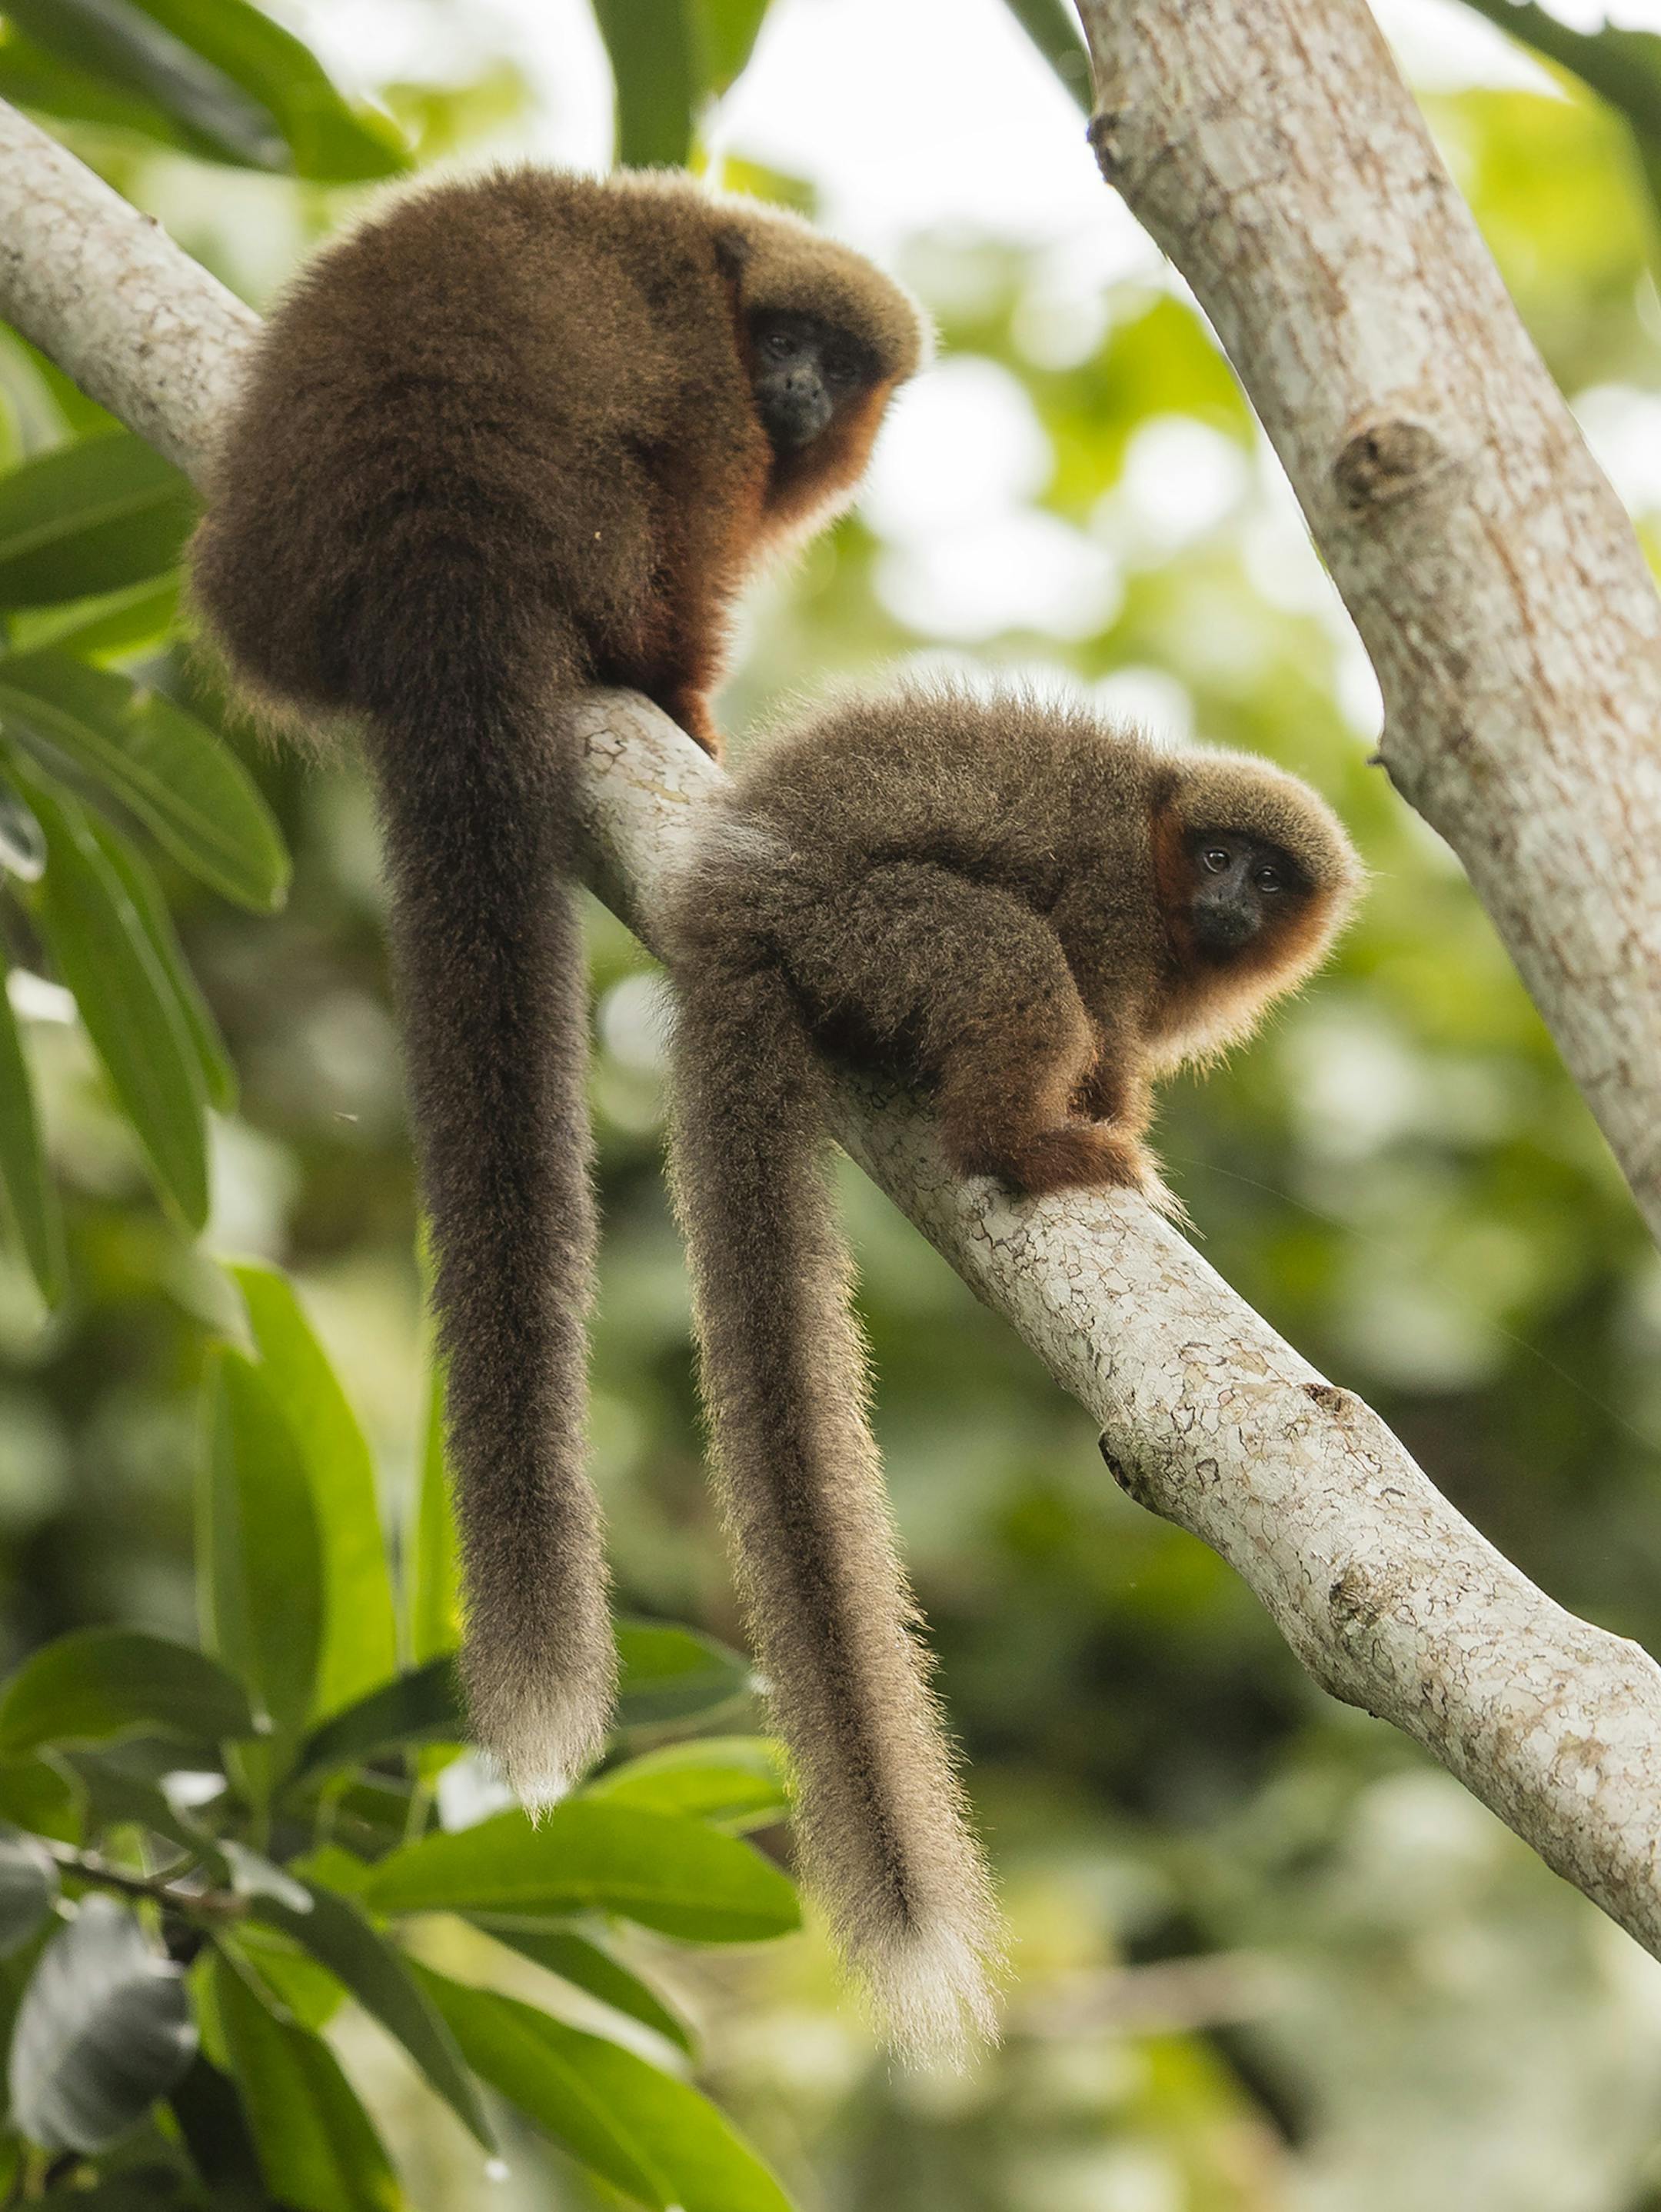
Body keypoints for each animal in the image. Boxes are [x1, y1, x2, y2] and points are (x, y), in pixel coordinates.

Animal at [187, 166, 927, 1807]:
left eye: (838, 366)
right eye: (787, 344)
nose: (799, 390)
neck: (722, 275)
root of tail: (432, 525)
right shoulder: (710, 393)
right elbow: (700, 531)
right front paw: (688, 696)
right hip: (582, 510)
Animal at [660, 681, 1363, 2060]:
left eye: (1266, 873)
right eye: (1216, 857)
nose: (1235, 898)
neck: (1160, 866)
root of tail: (735, 909)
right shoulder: (1113, 906)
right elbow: (1088, 987)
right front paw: (1105, 1114)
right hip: (863, 930)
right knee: (1012, 958)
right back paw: (1023, 1145)